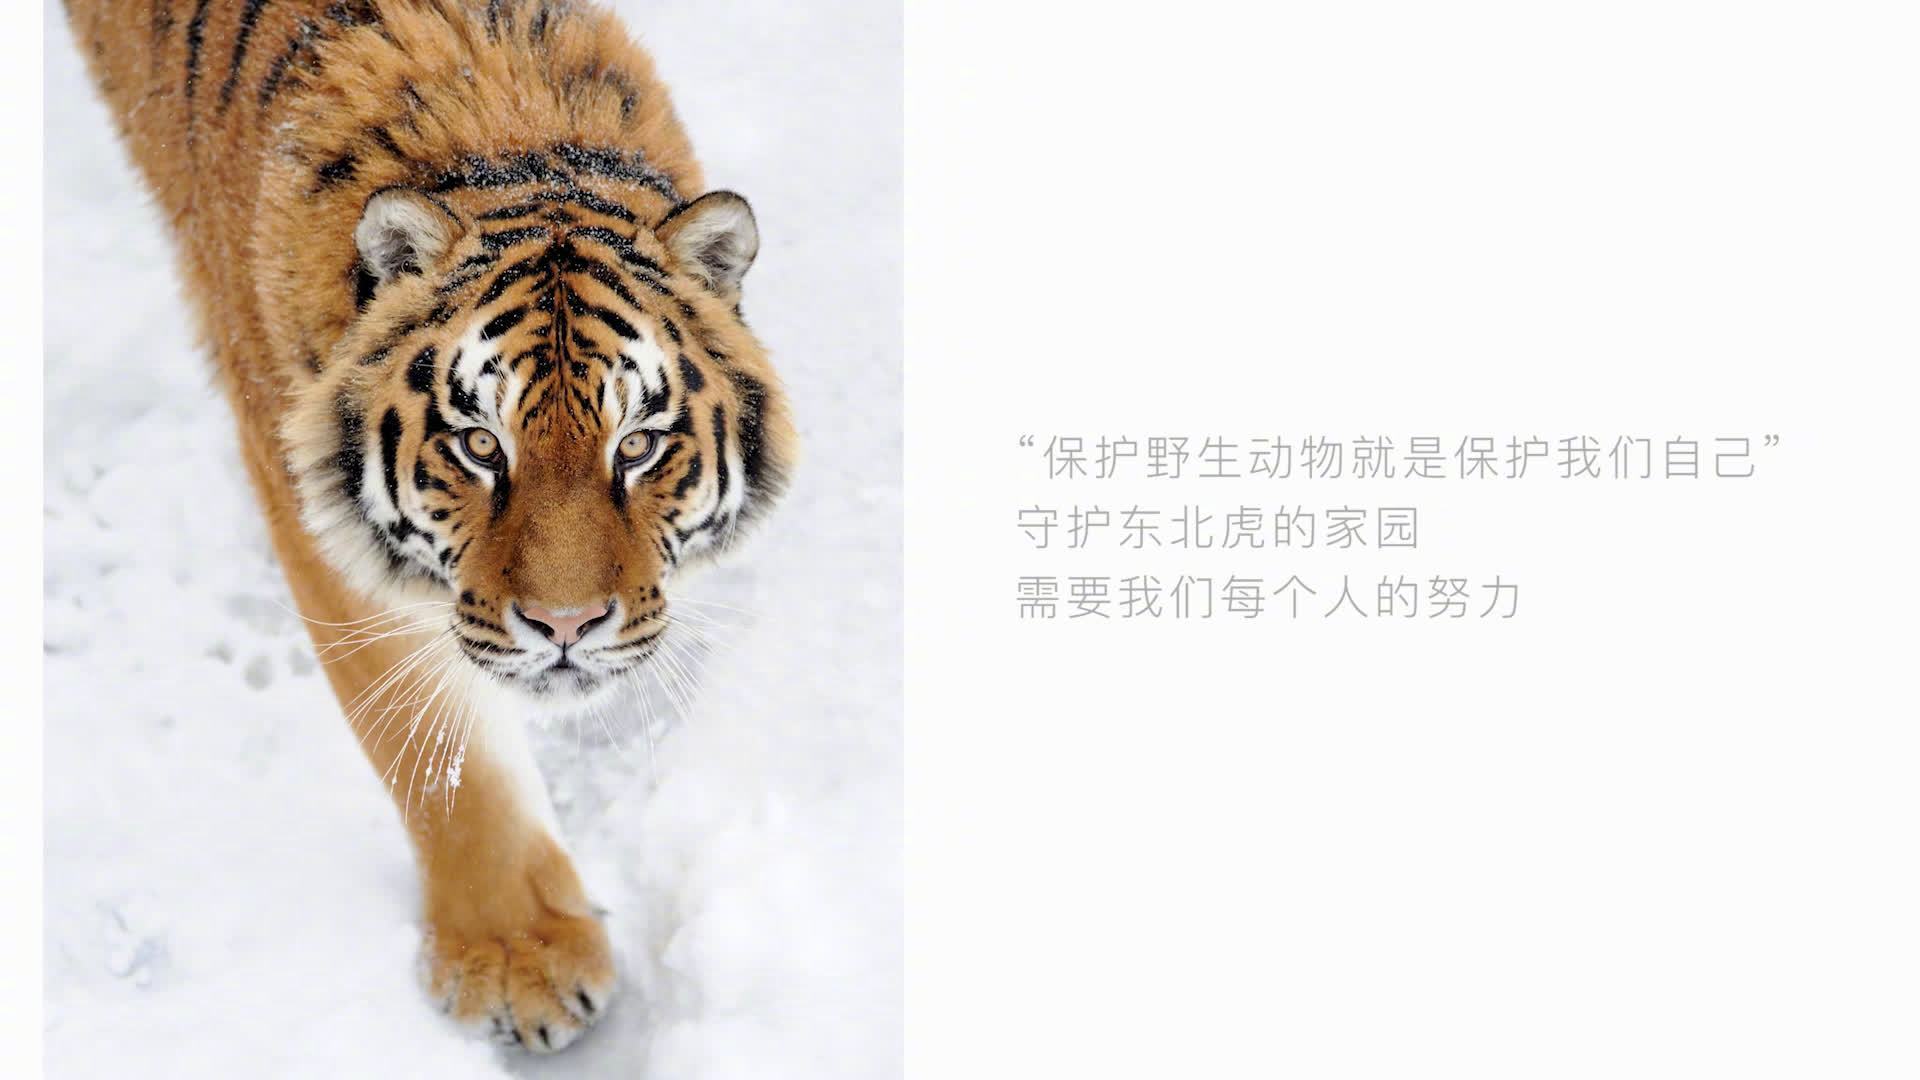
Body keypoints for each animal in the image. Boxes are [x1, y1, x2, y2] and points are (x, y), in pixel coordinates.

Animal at [63, 0, 794, 1053]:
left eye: (639, 445)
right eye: (481, 445)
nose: (567, 626)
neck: (516, 143)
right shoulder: (318, 521)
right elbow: (440, 751)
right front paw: (520, 961)